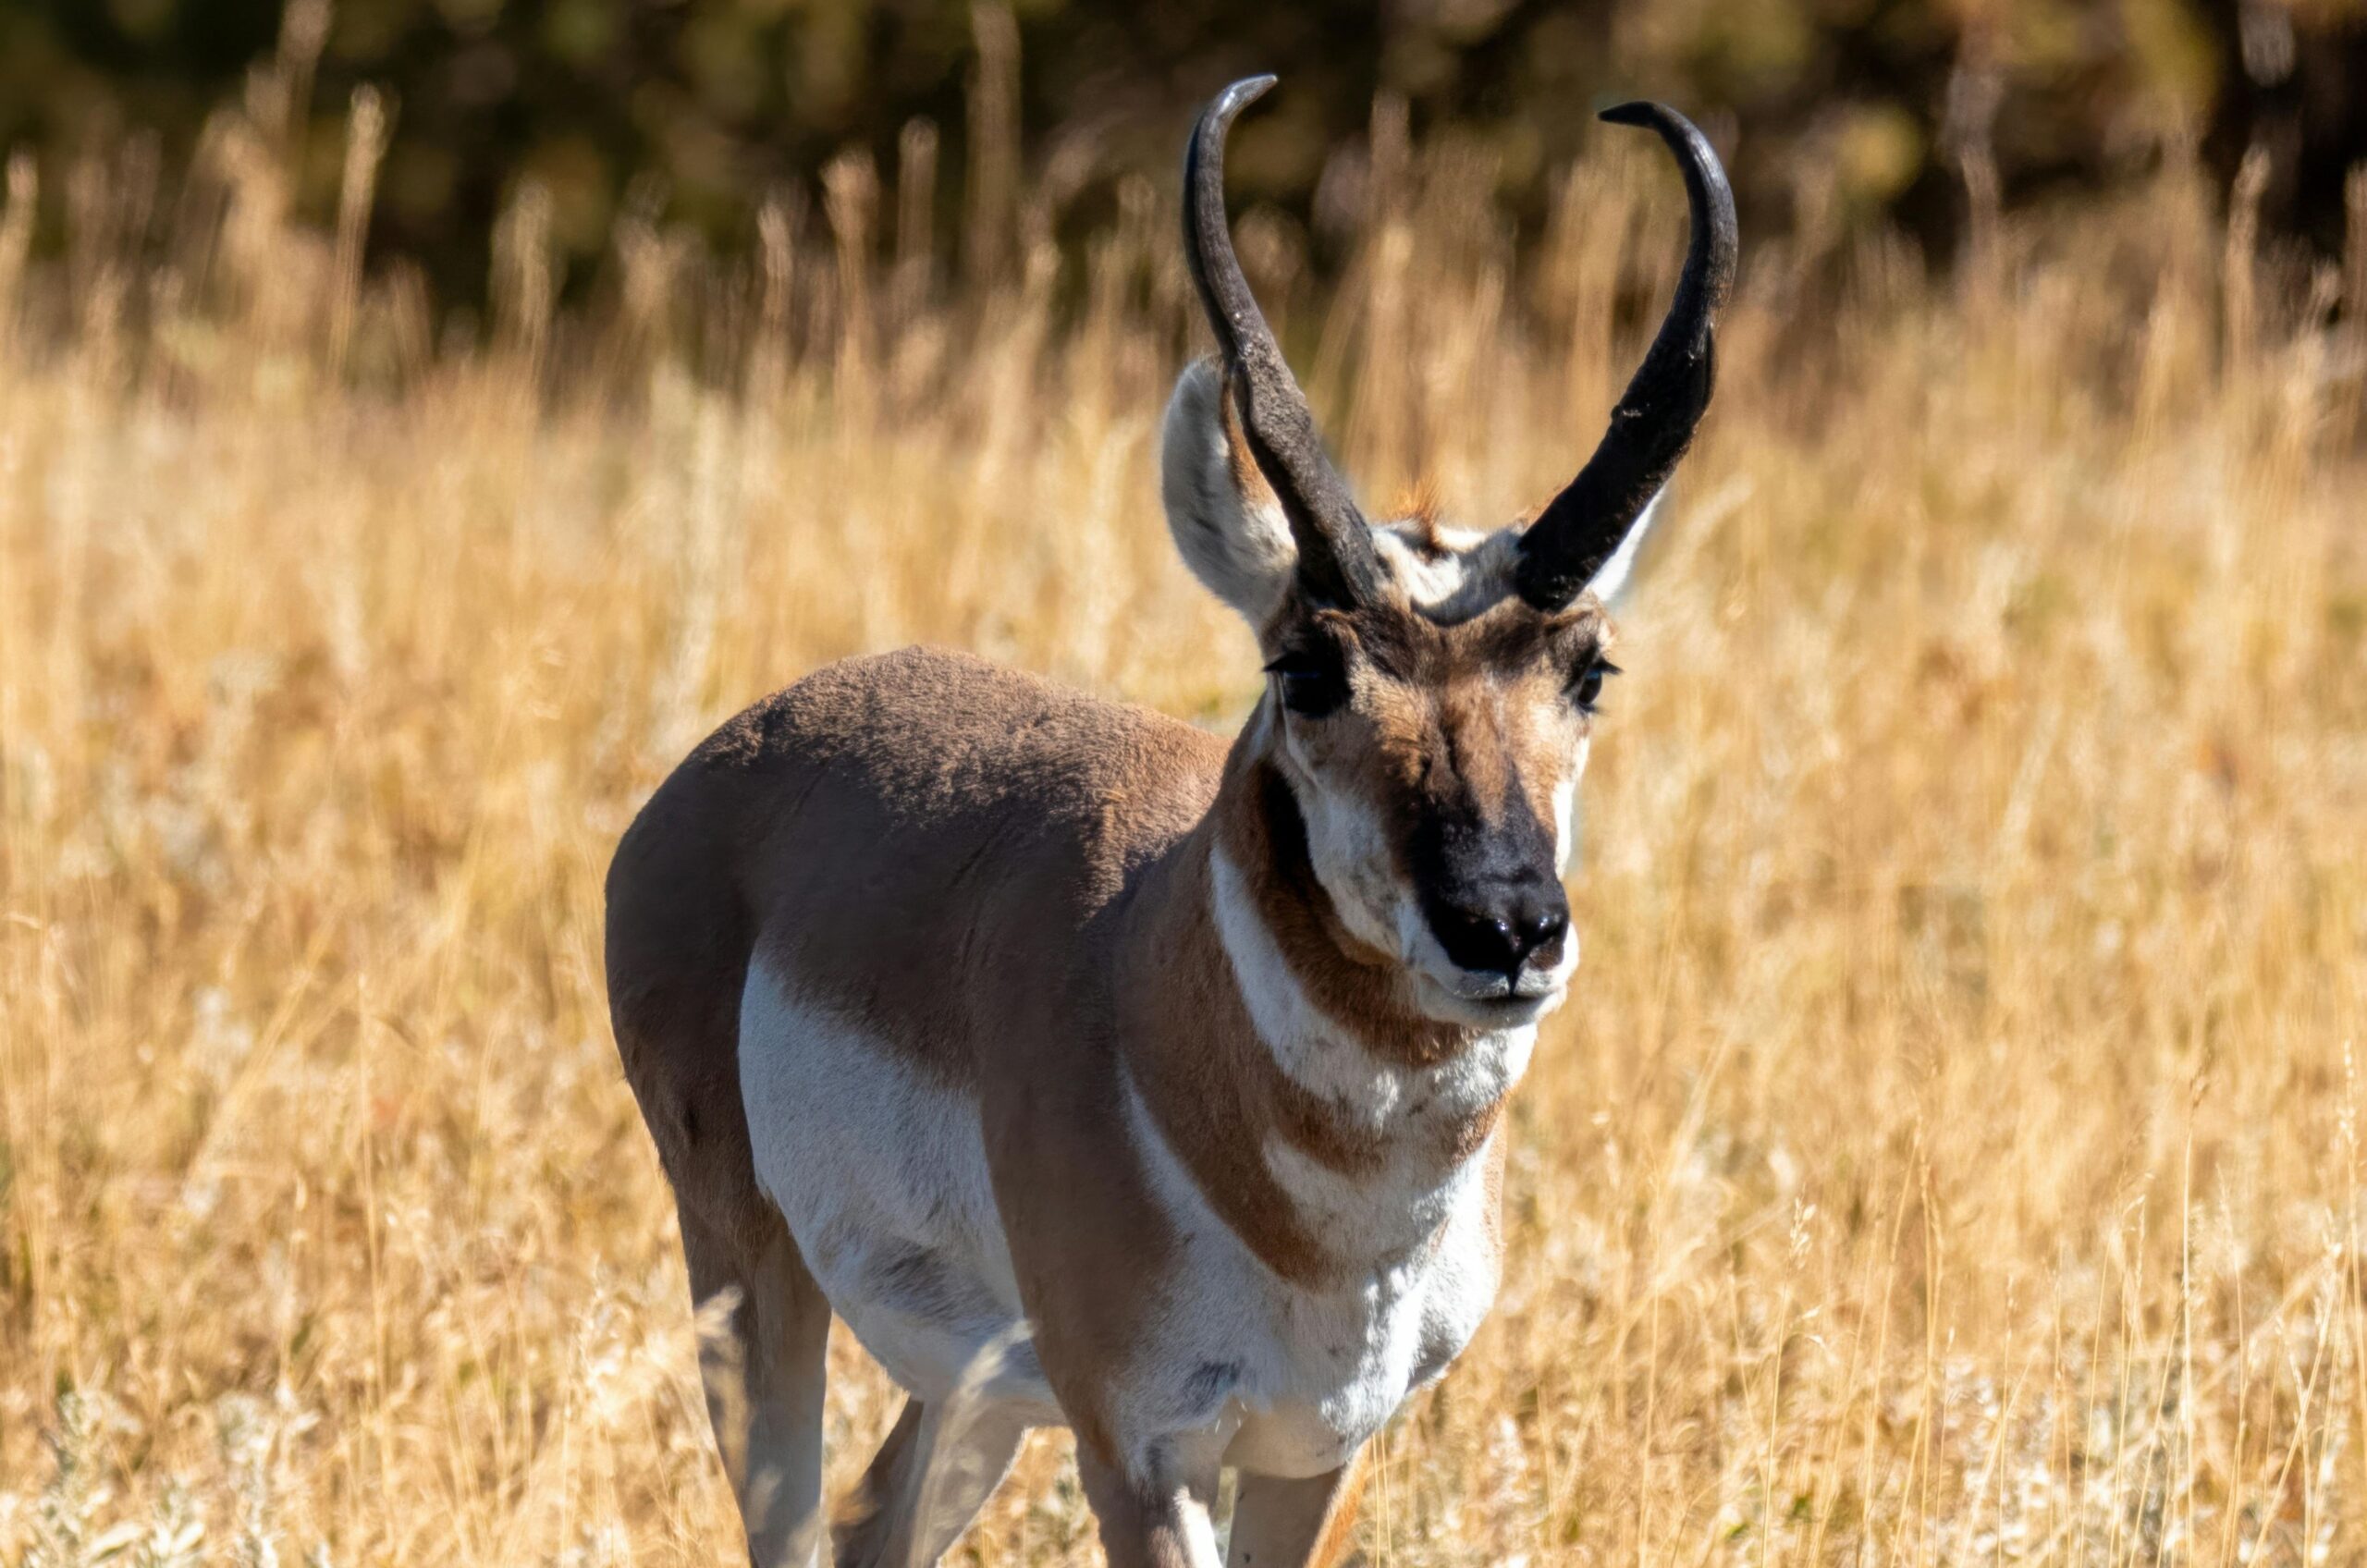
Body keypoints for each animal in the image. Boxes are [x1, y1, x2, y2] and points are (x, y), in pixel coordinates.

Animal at [605, 76, 1735, 1568]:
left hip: (974, 1389)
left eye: (1587, 667)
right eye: (1307, 667)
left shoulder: (1317, 1453)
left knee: (873, 1520)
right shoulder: (1139, 1454)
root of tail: (736, 756)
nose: (1505, 928)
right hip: (751, 1280)